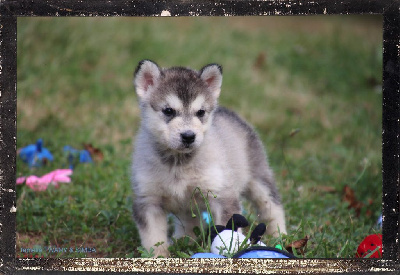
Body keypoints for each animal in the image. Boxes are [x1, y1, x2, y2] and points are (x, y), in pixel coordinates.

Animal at [130, 59, 284, 256]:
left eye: (201, 112)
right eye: (168, 110)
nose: (188, 136)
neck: (179, 163)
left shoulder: (222, 195)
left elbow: (229, 232)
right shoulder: (148, 201)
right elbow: (154, 240)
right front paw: (159, 257)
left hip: (258, 179)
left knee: (272, 208)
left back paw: (280, 236)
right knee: (189, 224)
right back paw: (183, 241)